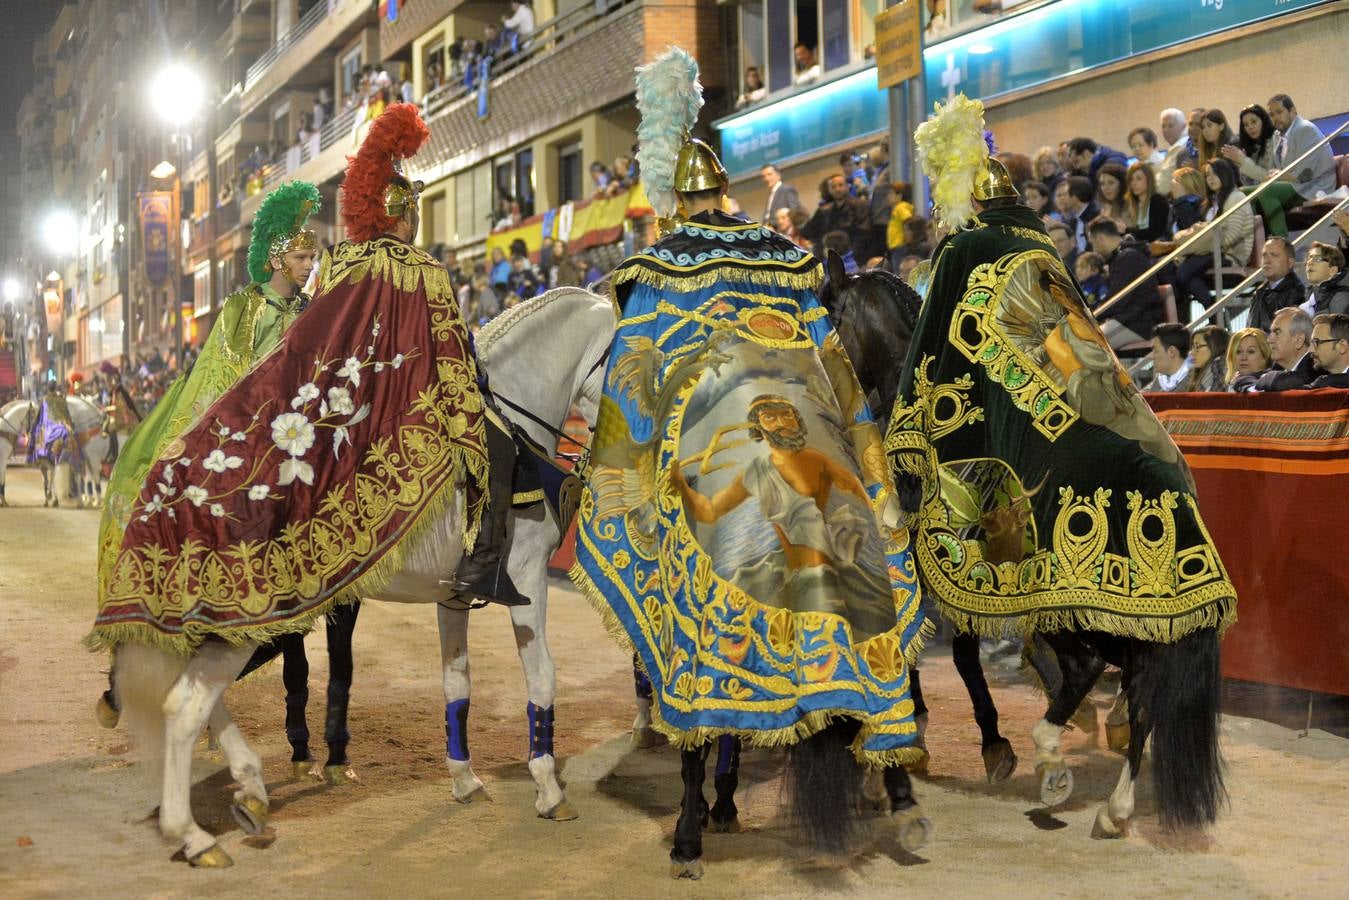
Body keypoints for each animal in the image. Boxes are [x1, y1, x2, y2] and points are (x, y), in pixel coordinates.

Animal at [110, 288, 617, 863]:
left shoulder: (454, 596)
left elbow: (456, 680)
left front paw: (465, 780)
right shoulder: (529, 582)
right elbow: (543, 678)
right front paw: (549, 789)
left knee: (195, 693)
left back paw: (249, 788)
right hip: (245, 620)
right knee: (185, 706)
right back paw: (194, 835)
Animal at [814, 253, 1230, 836]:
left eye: (828, 321)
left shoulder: (939, 567)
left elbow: (943, 649)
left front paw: (971, 741)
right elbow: (952, 648)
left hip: (1073, 614)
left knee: (1091, 670)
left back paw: (1054, 757)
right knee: (1141, 693)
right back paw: (1114, 804)